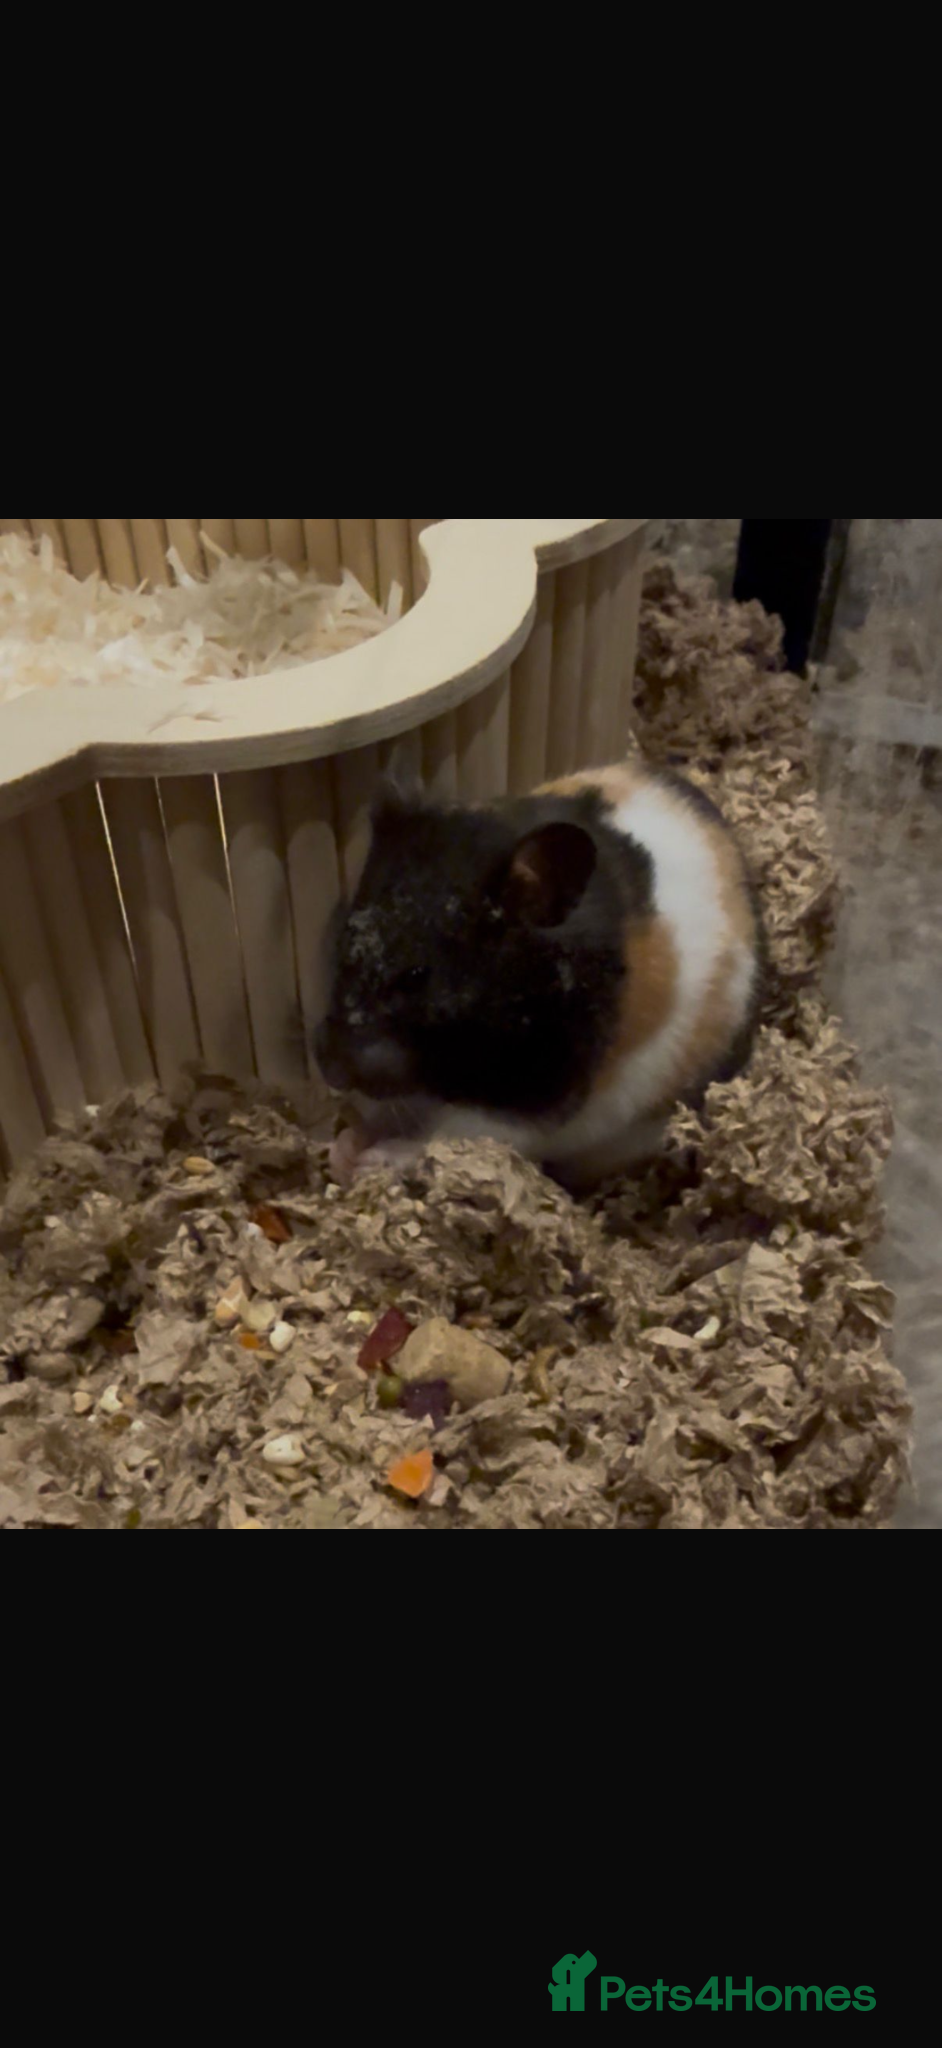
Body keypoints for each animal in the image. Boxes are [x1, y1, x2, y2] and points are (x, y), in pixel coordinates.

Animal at [314, 759, 765, 1189]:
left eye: (416, 974)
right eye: (344, 939)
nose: (331, 1073)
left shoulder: (535, 1109)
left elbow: (444, 1135)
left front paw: (373, 1160)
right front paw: (344, 1151)